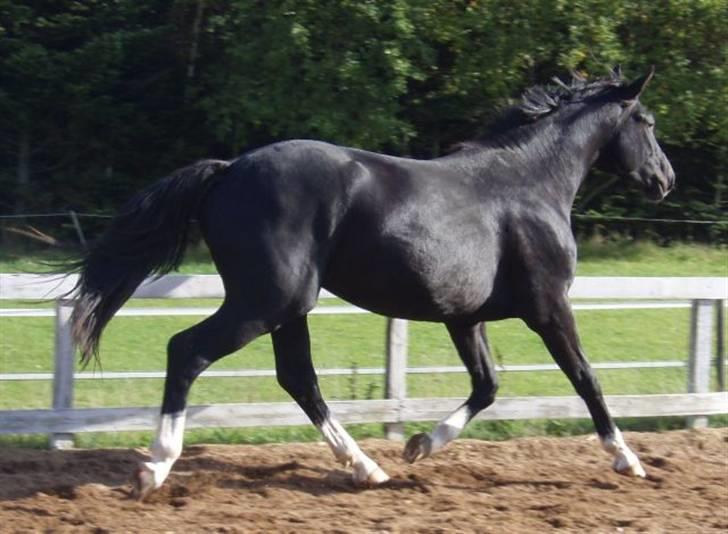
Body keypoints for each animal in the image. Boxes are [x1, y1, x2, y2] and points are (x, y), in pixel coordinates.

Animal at [67, 69, 672, 500]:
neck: (529, 184)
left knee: (299, 379)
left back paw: (366, 467)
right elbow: (585, 377)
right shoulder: (548, 307)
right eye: (645, 121)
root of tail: (229, 168)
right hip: (267, 301)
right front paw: (628, 459)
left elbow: (488, 386)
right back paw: (155, 467)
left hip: (289, 307)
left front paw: (419, 445)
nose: (666, 179)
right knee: (187, 350)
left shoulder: (463, 316)